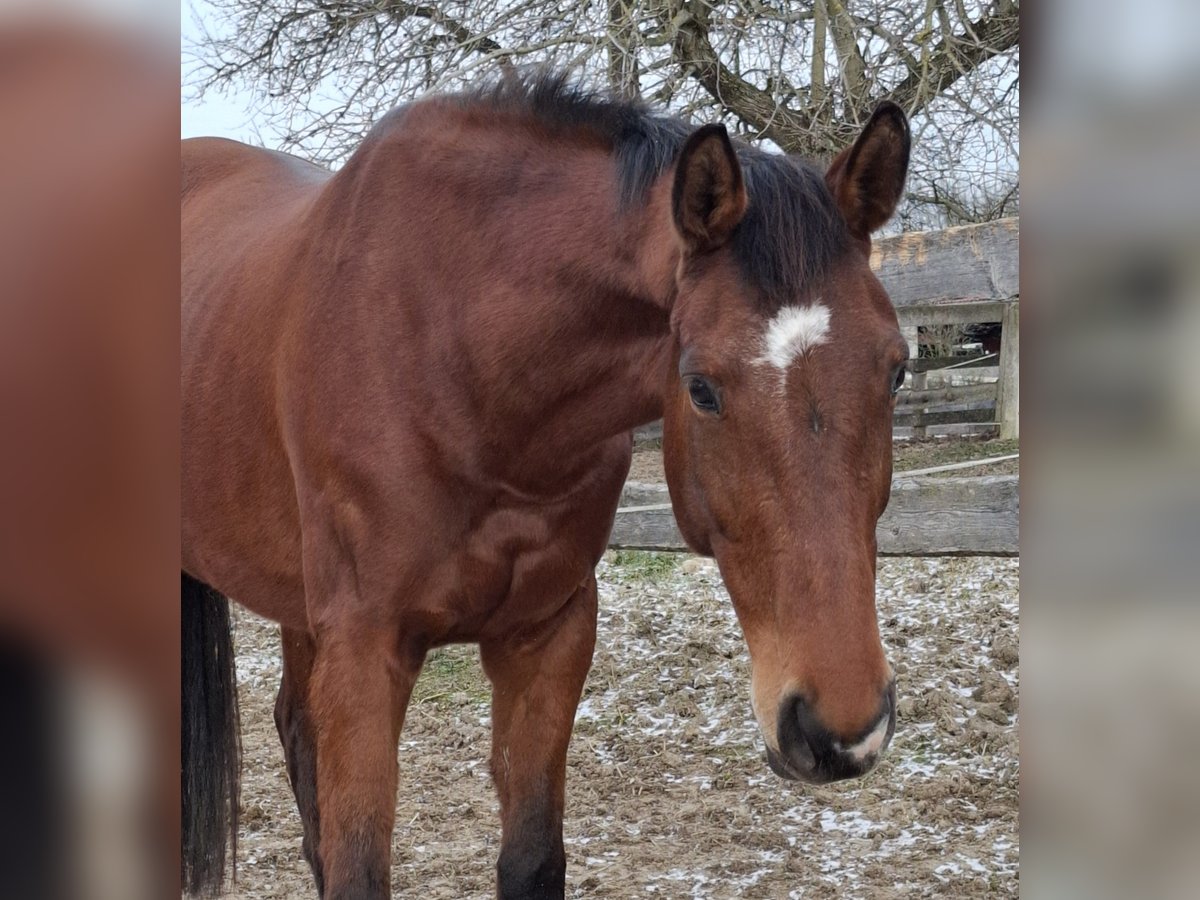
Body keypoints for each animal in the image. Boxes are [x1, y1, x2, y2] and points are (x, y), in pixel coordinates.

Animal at [180, 75, 907, 900]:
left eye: (896, 368)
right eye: (701, 388)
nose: (841, 730)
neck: (458, 350)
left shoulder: (547, 635)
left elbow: (531, 857)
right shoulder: (365, 651)